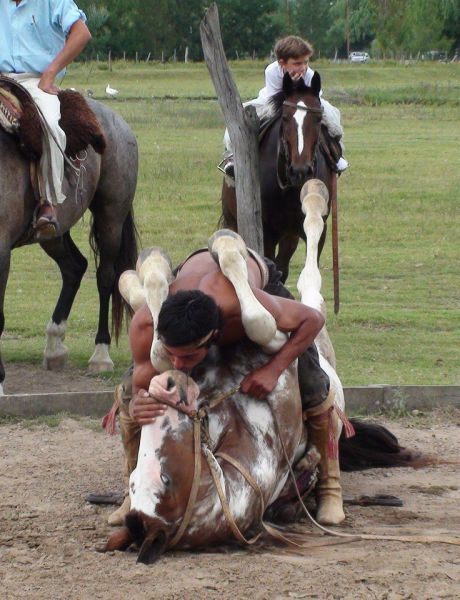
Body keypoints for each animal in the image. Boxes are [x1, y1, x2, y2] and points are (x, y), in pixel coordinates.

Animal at [221, 71, 336, 282]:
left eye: (318, 118)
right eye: (285, 117)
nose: (300, 170)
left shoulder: (315, 229)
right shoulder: (267, 233)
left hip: (289, 235)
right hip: (233, 221)